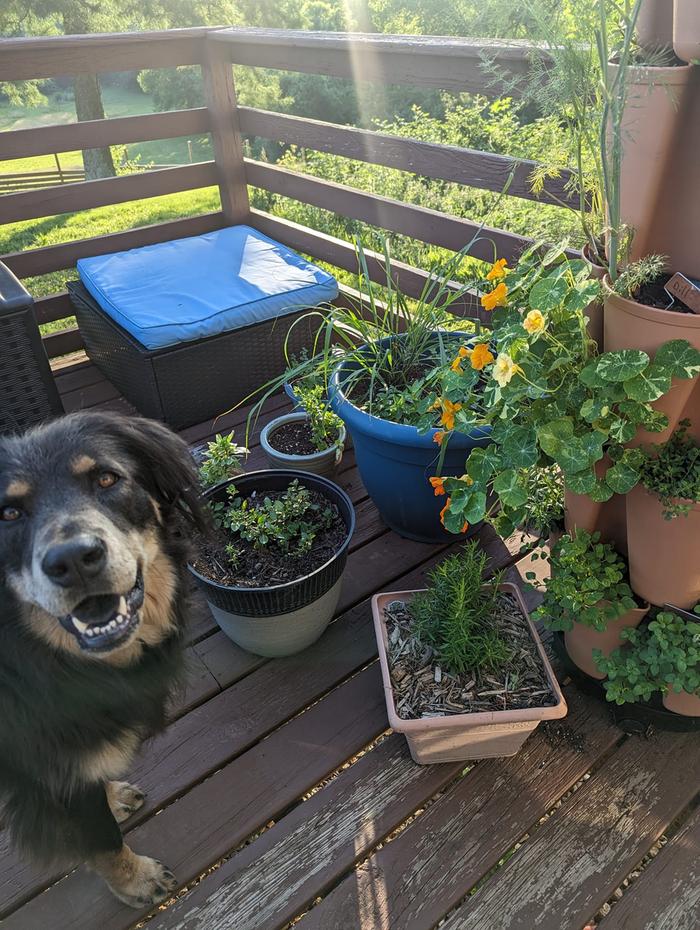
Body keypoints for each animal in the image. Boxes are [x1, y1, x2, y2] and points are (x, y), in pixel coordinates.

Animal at [0, 410, 206, 904]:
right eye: (8, 513)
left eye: (106, 479)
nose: (74, 560)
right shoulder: (40, 771)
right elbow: (102, 839)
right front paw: (136, 880)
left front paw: (109, 793)